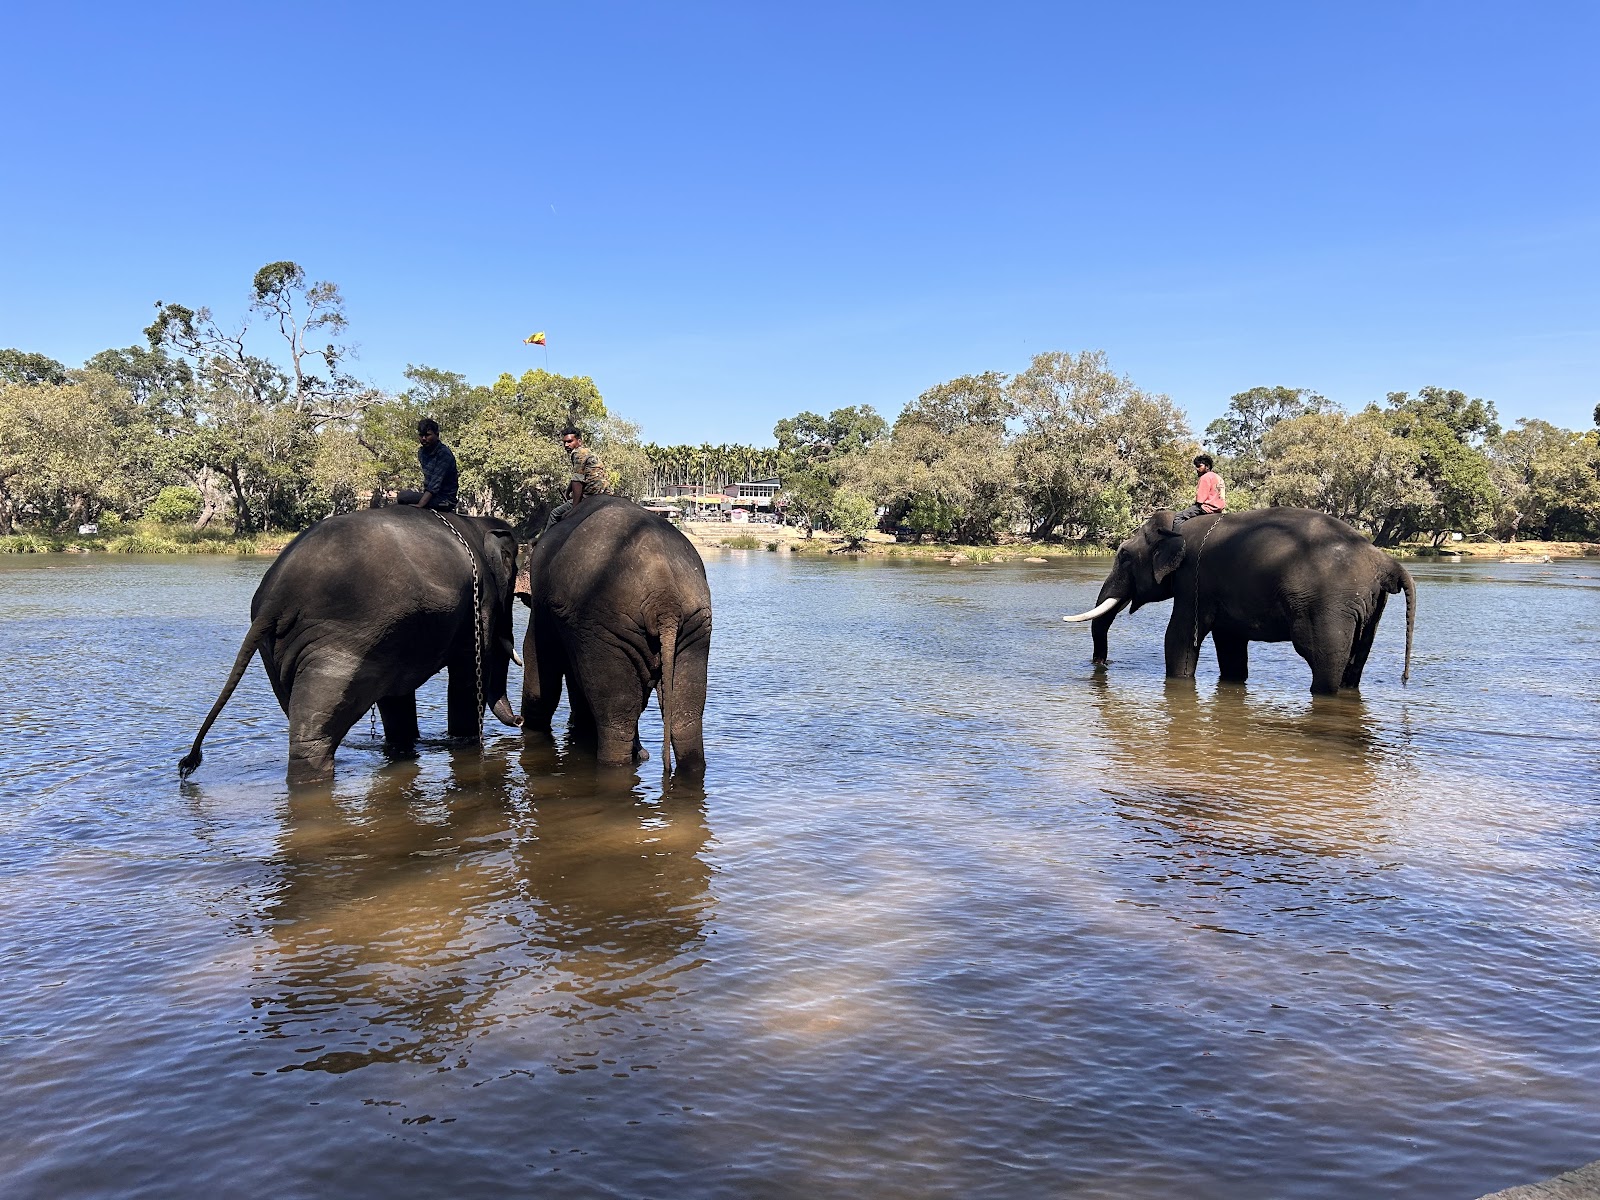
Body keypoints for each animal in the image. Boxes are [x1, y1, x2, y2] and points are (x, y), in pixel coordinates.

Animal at [179, 506, 524, 781]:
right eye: (512, 582)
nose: (520, 720)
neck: (474, 523)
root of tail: (275, 596)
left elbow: (396, 696)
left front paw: (403, 748)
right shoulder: (480, 604)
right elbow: (467, 674)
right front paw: (465, 743)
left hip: (279, 648)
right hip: (344, 641)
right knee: (318, 726)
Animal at [520, 495, 711, 773]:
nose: (516, 721)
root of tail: (664, 596)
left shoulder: (545, 605)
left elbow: (539, 658)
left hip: (606, 627)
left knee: (616, 719)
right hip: (694, 625)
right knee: (685, 715)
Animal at [1064, 508, 1415, 695]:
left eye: (1123, 556)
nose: (1102, 664)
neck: (1176, 525)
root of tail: (1386, 561)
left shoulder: (1194, 580)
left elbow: (1178, 637)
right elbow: (1229, 643)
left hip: (1329, 607)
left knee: (1323, 658)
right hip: (1369, 605)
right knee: (1356, 659)